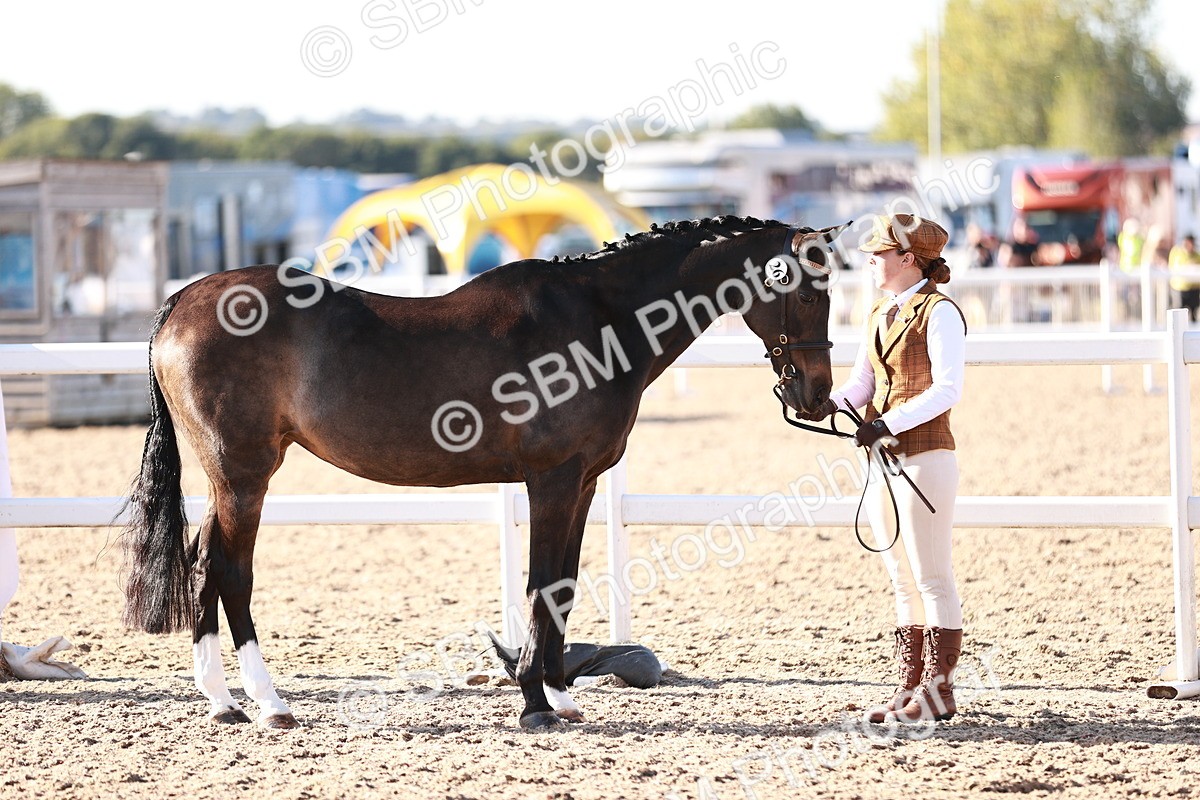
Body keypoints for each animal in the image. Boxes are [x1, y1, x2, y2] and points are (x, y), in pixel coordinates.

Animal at [121, 215, 849, 730]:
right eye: (805, 291)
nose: (816, 393)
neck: (600, 320)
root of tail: (182, 301)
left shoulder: (584, 481)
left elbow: (564, 584)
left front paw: (560, 695)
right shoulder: (552, 479)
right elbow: (540, 585)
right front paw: (534, 703)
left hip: (226, 481)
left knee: (203, 563)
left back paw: (223, 702)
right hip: (245, 474)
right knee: (231, 571)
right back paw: (270, 703)